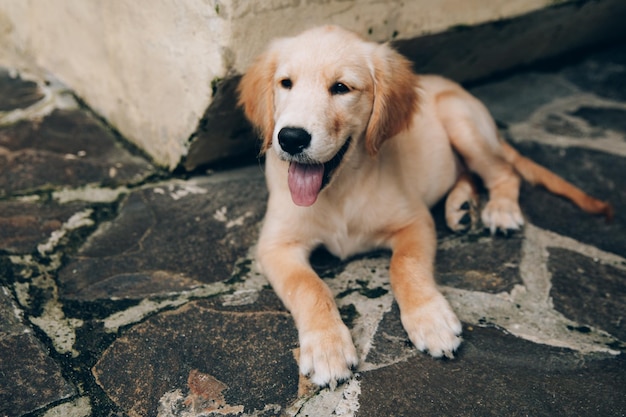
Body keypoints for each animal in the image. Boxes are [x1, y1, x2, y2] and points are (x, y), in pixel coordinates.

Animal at [236, 24, 608, 386]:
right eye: (286, 83)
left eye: (341, 88)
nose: (290, 138)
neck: (339, 189)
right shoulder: (276, 245)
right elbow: (308, 286)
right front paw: (327, 348)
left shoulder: (414, 222)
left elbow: (405, 265)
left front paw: (430, 319)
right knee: (469, 173)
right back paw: (460, 206)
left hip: (461, 121)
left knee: (504, 172)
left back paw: (500, 210)